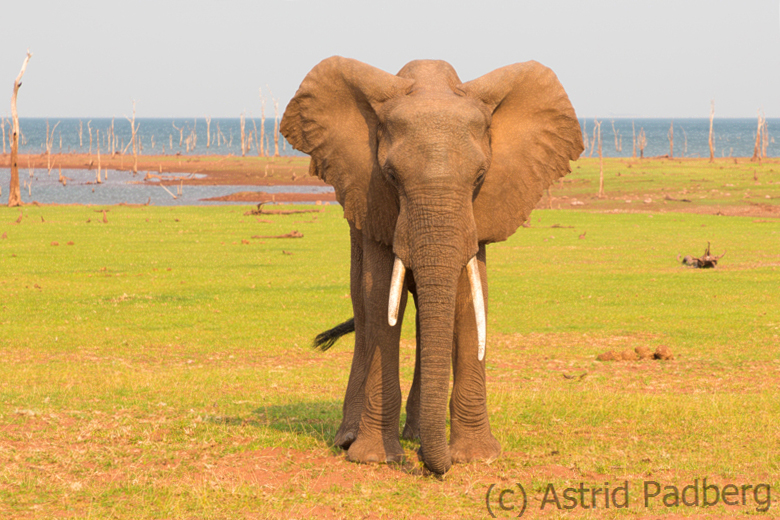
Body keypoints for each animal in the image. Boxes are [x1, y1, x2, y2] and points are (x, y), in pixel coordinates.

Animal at [278, 57, 580, 476]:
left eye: (480, 177)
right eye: (391, 176)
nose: (429, 464)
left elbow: (470, 302)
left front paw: (476, 457)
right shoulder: (372, 198)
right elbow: (379, 300)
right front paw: (374, 458)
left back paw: (417, 435)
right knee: (364, 307)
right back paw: (351, 439)